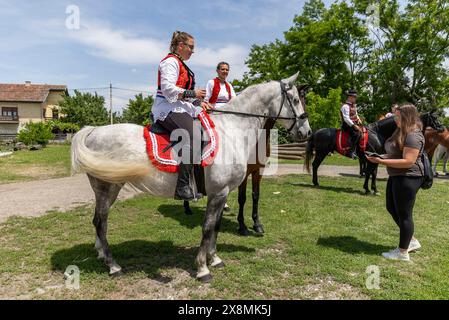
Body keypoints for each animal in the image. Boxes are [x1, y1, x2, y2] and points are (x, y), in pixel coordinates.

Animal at [72, 73, 310, 282]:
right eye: (296, 100)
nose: (306, 132)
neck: (232, 130)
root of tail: (94, 131)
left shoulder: (222, 193)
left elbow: (216, 227)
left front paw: (214, 259)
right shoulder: (218, 193)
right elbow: (207, 228)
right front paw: (202, 268)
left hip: (108, 188)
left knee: (100, 220)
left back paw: (101, 254)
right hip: (107, 187)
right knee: (100, 222)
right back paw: (113, 266)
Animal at [302, 112, 442, 195]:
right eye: (434, 118)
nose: (442, 127)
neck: (378, 133)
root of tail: (317, 132)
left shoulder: (376, 158)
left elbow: (373, 173)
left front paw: (374, 189)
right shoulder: (370, 158)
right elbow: (369, 172)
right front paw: (368, 189)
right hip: (321, 153)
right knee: (315, 165)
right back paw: (316, 183)